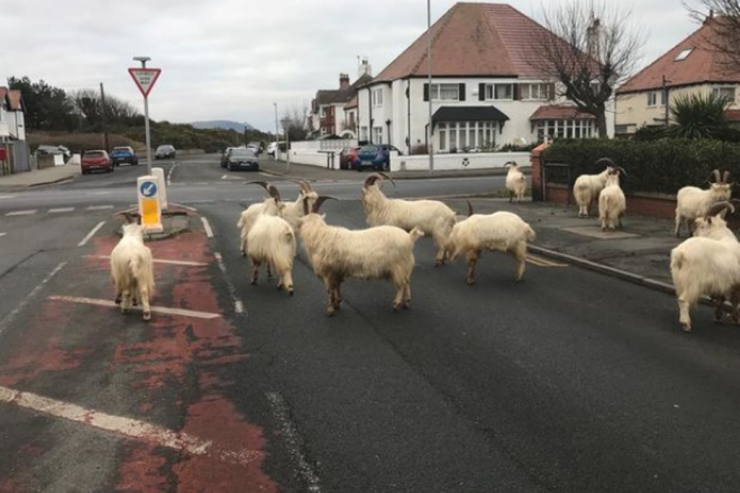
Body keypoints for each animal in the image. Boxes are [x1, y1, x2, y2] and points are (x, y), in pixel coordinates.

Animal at [672, 200, 740, 330]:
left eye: (702, 226)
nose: (694, 234)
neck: (722, 237)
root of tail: (680, 253)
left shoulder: (723, 283)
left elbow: (721, 300)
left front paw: (718, 317)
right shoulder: (734, 284)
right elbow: (735, 302)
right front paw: (736, 319)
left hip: (680, 281)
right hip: (692, 282)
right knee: (683, 300)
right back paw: (686, 324)